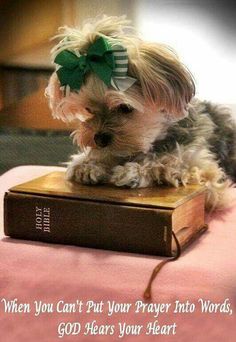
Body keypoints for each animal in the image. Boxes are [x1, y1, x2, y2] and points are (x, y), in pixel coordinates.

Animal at [46, 15, 236, 208]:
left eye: (125, 107)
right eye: (88, 109)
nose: (98, 139)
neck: (161, 137)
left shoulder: (206, 174)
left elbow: (171, 161)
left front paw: (134, 171)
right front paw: (89, 164)